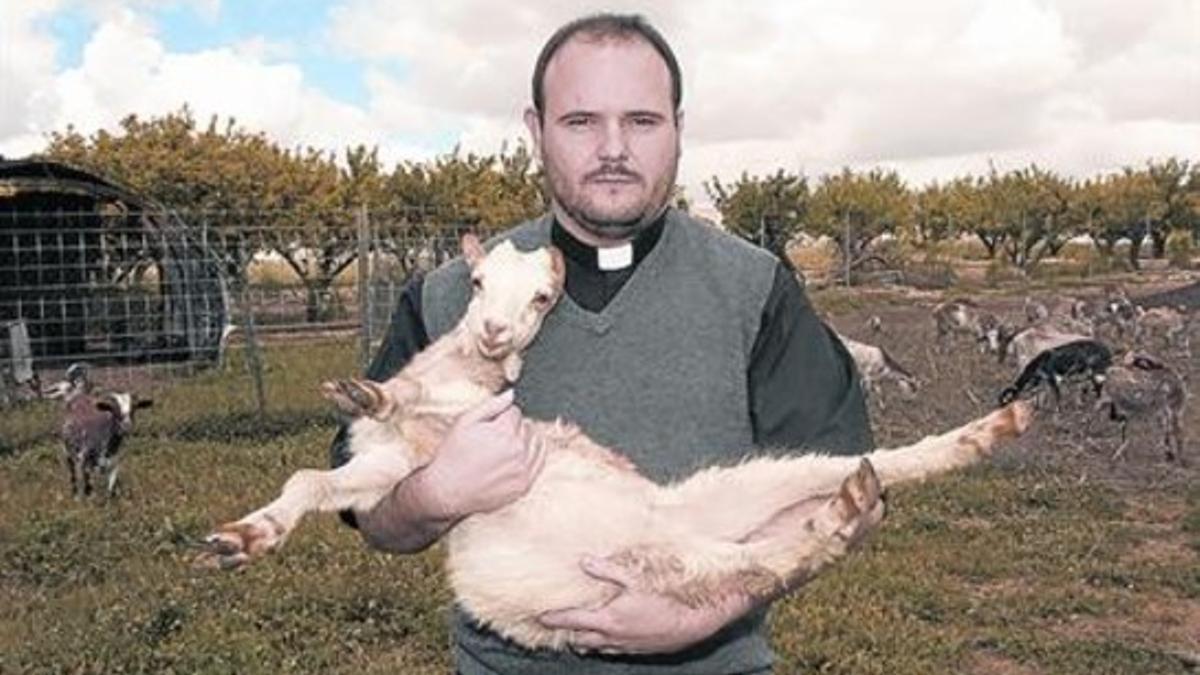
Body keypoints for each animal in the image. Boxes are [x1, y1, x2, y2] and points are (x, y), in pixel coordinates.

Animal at [48, 362, 153, 499]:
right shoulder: (83, 461)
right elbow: (87, 488)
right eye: (112, 409)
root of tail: (77, 397)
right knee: (73, 475)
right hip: (68, 453)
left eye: (134, 409)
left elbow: (110, 491)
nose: (126, 426)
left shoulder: (114, 465)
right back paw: (74, 494)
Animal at [201, 233, 1036, 653]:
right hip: (698, 531)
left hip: (681, 547)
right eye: (476, 283)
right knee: (785, 542)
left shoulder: (474, 419)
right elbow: (313, 479)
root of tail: (668, 520)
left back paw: (978, 435)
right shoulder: (391, 467)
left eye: (543, 296)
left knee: (794, 542)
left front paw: (368, 390)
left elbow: (413, 405)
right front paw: (244, 537)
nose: (494, 332)